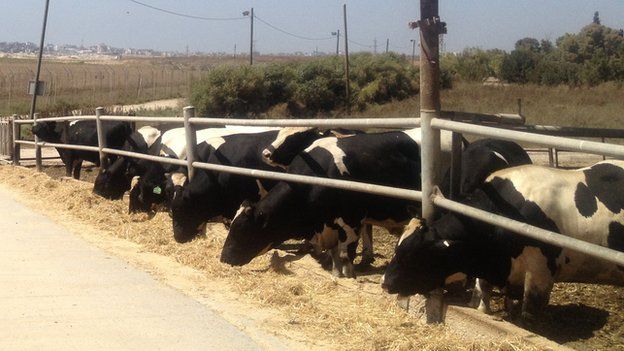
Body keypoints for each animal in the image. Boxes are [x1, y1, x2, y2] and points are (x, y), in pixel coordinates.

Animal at [218, 129, 428, 278]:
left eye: (243, 231)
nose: (223, 258)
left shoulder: (352, 219)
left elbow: (344, 254)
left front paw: (348, 276)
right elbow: (334, 253)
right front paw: (333, 270)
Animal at [382, 161, 624, 320]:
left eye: (412, 256)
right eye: (397, 248)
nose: (385, 283)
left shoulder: (540, 274)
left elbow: (528, 314)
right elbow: (485, 295)